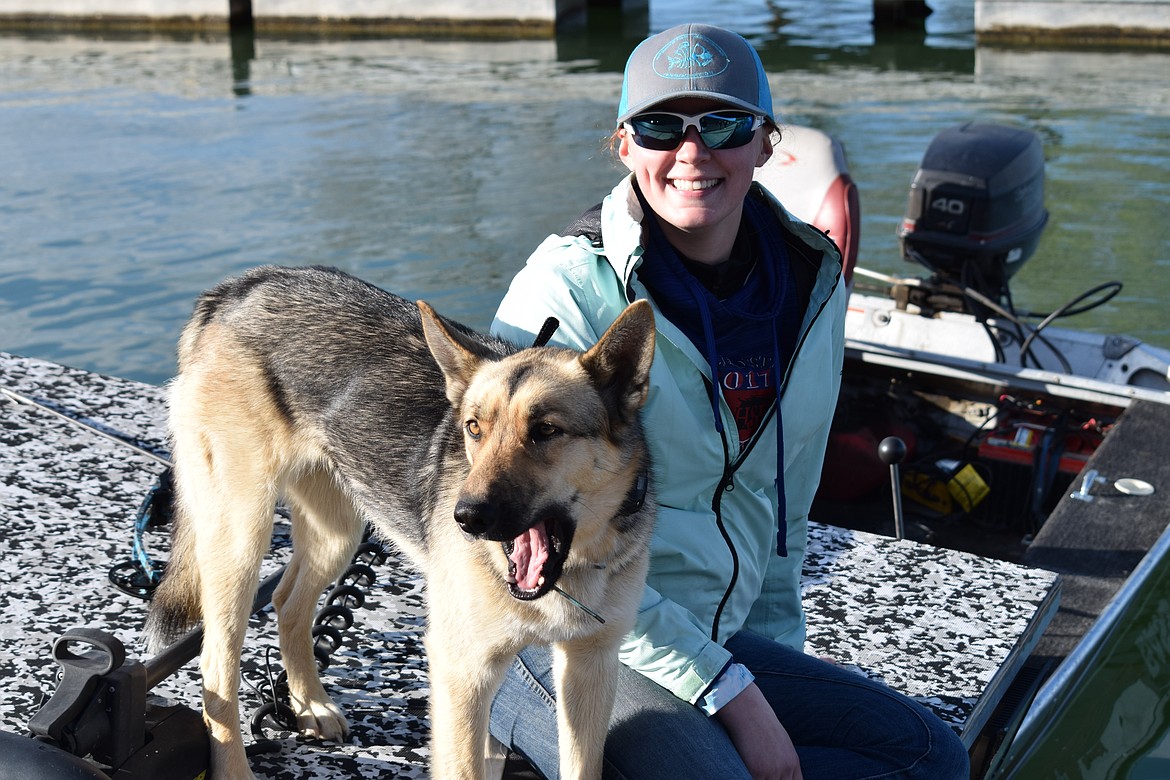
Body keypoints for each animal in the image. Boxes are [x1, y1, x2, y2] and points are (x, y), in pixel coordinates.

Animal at [143, 266, 659, 780]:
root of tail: (237, 288)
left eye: (546, 430)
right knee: (216, 663)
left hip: (336, 534)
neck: (575, 568)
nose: (464, 517)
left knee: (289, 602)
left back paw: (311, 704)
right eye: (474, 427)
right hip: (241, 538)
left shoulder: (590, 666)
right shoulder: (463, 670)